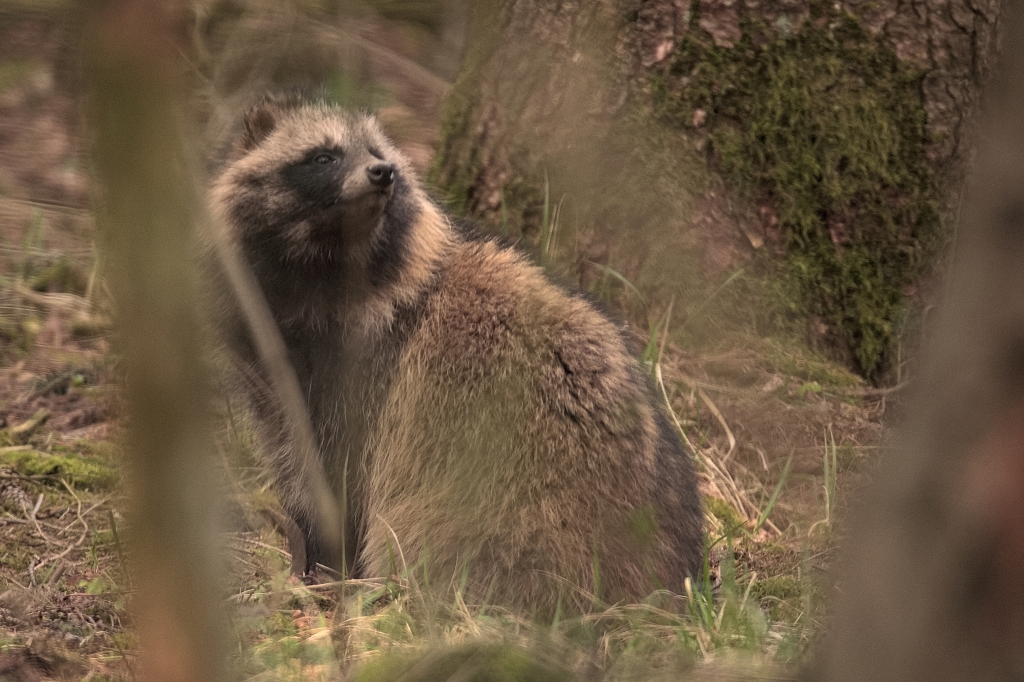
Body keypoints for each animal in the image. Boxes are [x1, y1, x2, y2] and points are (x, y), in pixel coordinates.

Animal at [210, 91, 700, 610]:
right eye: (324, 157)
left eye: (377, 154)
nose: (383, 172)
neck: (327, 267)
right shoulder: (276, 366)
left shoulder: (363, 377)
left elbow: (335, 476)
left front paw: (324, 560)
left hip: (512, 509)